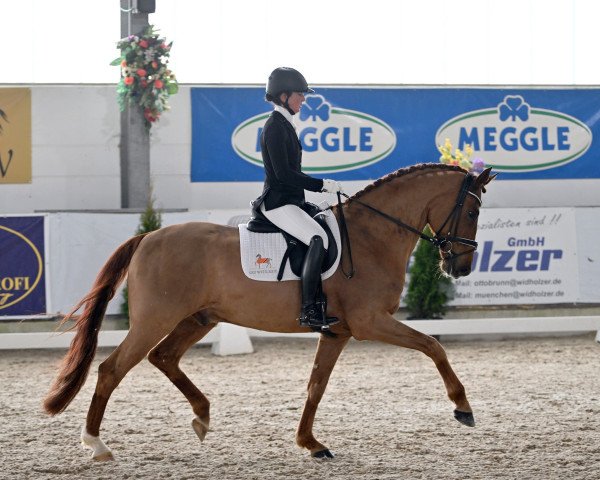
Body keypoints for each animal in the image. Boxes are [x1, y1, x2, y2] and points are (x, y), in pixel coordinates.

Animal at [42, 164, 492, 462]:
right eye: (472, 212)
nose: (461, 268)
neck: (372, 236)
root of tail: (148, 236)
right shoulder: (370, 323)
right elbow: (433, 346)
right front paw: (462, 408)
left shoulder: (338, 332)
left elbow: (315, 387)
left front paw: (310, 443)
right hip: (156, 320)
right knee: (112, 369)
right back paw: (96, 444)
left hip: (198, 319)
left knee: (163, 357)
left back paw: (202, 416)